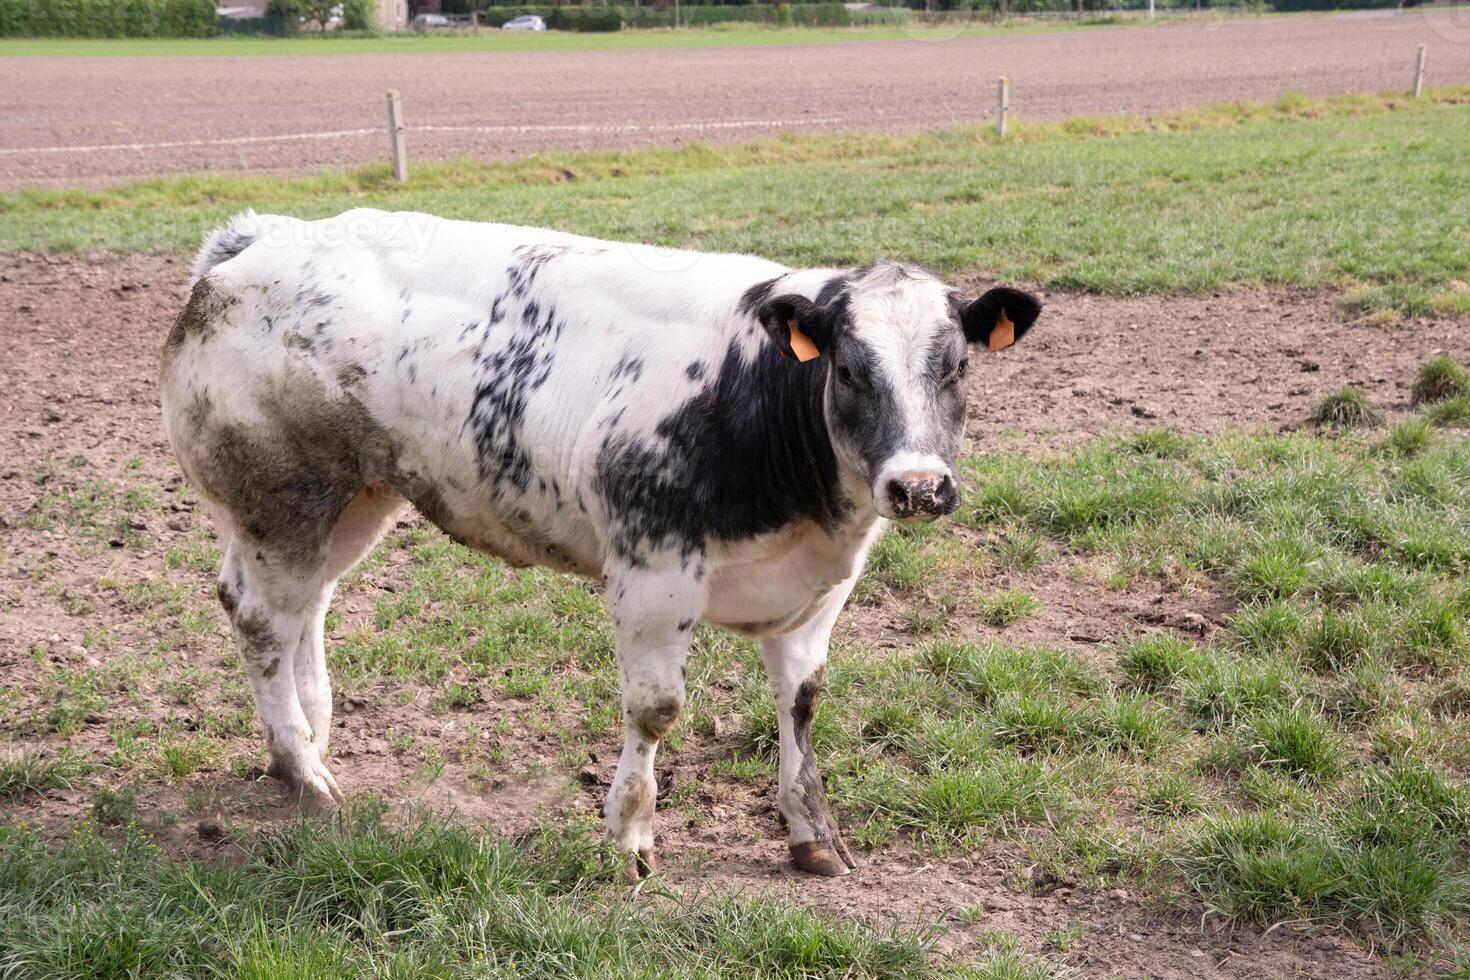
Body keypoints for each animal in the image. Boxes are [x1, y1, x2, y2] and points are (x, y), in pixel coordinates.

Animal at [160, 208, 1040, 881]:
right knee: (262, 617)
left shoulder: (818, 590)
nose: (918, 486)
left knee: (300, 606)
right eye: (851, 371)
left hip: (355, 498)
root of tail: (264, 235)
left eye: (957, 367)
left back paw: (312, 734)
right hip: (280, 497)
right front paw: (627, 840)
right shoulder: (653, 570)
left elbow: (801, 704)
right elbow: (656, 710)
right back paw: (301, 766)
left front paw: (813, 837)